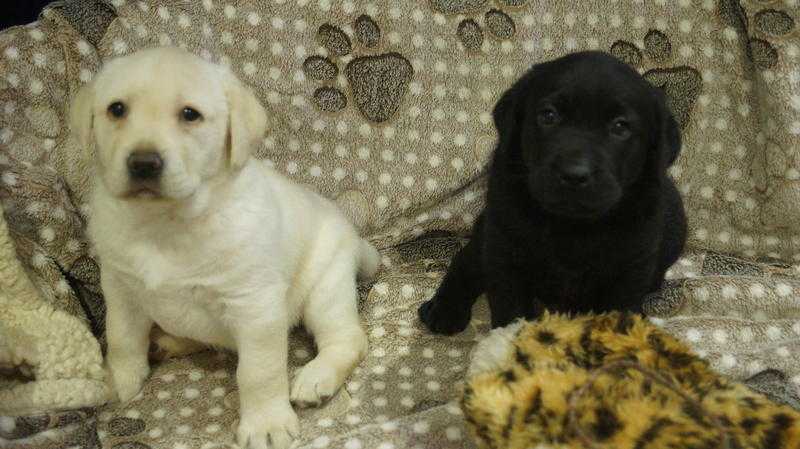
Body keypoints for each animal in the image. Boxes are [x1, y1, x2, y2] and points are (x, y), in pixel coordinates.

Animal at [418, 51, 688, 332]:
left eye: (620, 127)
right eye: (548, 115)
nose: (574, 174)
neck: (571, 226)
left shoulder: (631, 268)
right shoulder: (505, 252)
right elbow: (511, 311)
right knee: (466, 260)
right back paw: (444, 309)